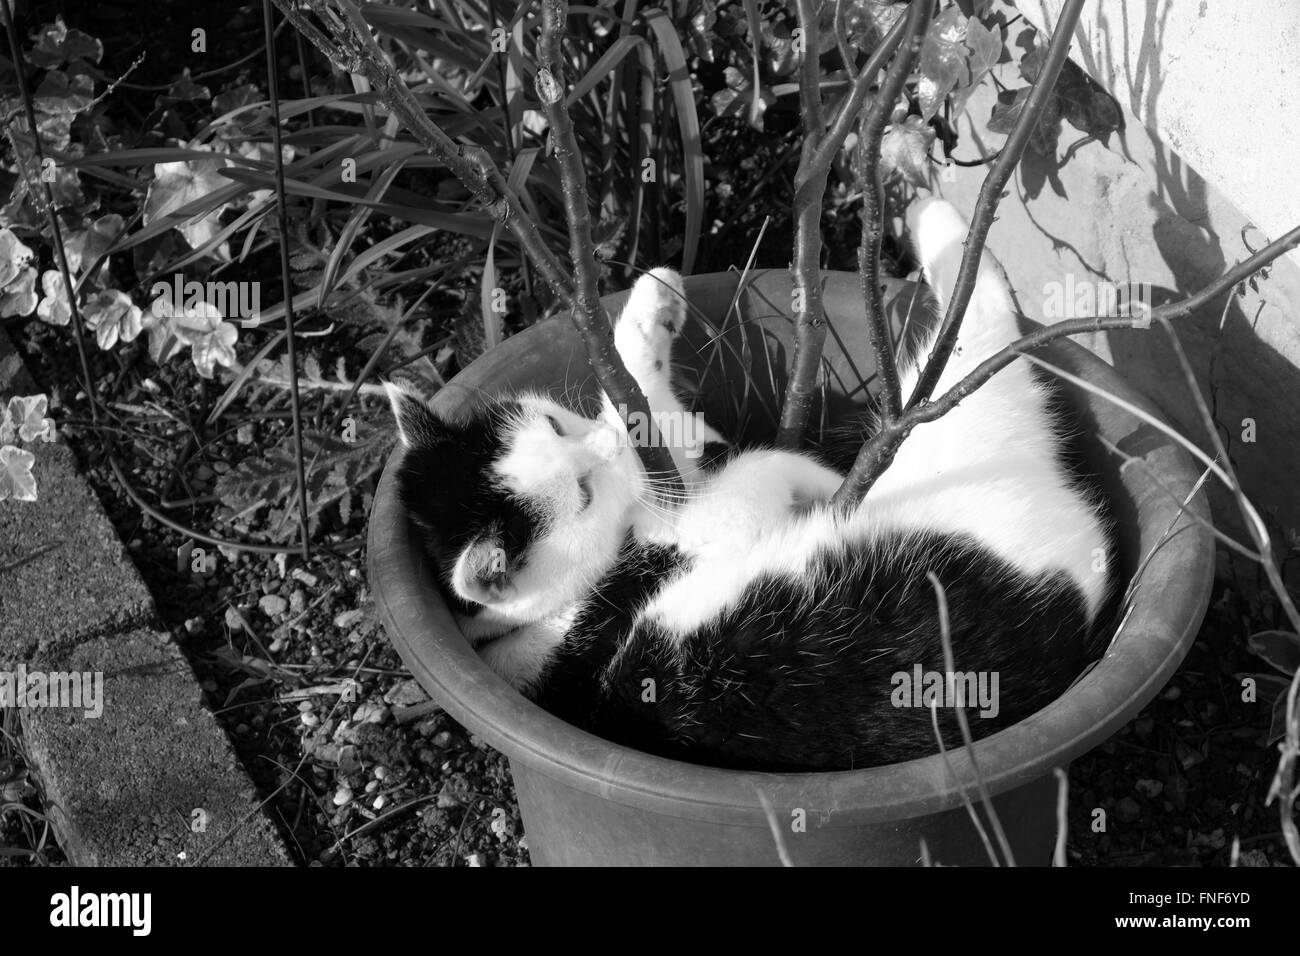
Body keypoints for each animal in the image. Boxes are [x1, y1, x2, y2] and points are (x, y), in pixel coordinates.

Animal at [379, 200, 1112, 770]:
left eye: (557, 425)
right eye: (581, 494)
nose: (605, 451)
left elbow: (640, 404)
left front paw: (650, 306)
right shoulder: (687, 530)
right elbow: (734, 464)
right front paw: (806, 474)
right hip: (953, 428)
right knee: (981, 328)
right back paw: (932, 214)